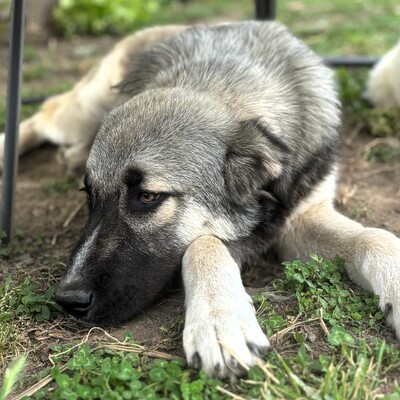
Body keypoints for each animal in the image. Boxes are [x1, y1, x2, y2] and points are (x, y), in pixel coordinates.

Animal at [3, 21, 400, 378]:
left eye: (147, 196)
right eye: (90, 194)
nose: (67, 300)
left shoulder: (302, 216)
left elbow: (372, 237)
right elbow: (204, 243)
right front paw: (220, 320)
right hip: (83, 108)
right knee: (44, 113)